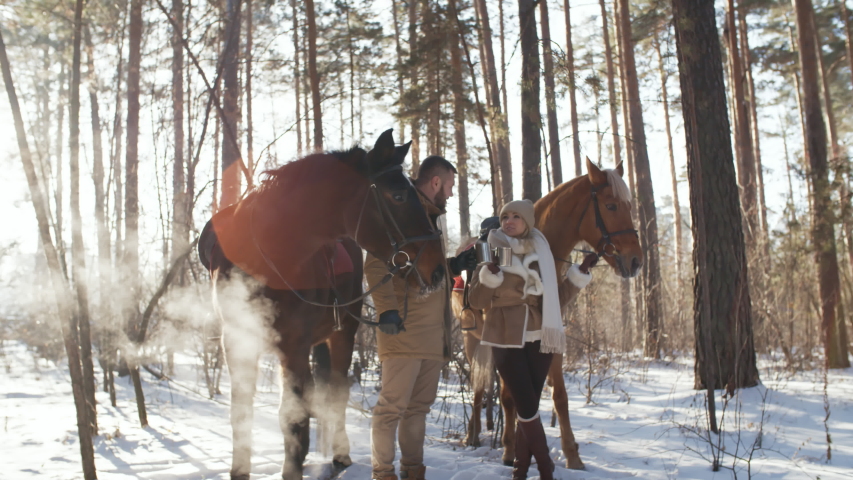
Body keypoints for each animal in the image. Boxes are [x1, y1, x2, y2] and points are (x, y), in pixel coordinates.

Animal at [198, 129, 446, 480]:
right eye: (398, 195)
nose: (437, 269)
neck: (265, 257)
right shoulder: (237, 342)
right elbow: (241, 413)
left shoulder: (294, 345)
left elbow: (294, 418)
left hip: (342, 335)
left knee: (337, 393)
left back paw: (340, 453)